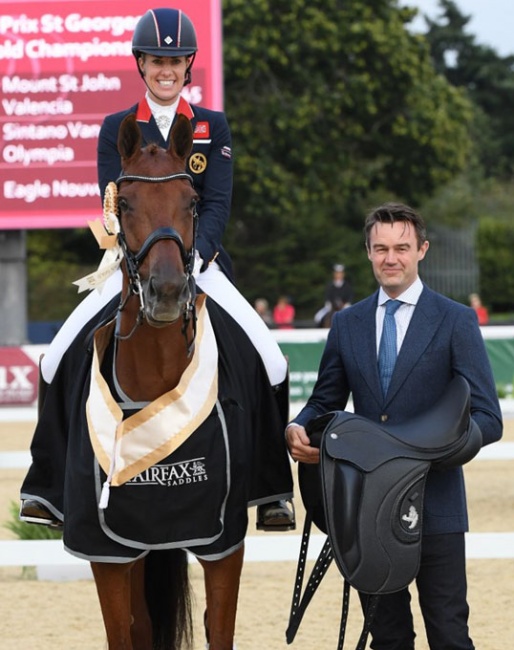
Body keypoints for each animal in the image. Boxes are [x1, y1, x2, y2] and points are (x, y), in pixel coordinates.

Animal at [20, 114, 292, 644]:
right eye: (123, 203)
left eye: (191, 201)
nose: (166, 292)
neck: (156, 377)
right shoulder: (106, 549)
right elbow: (123, 632)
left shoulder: (223, 542)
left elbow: (219, 630)